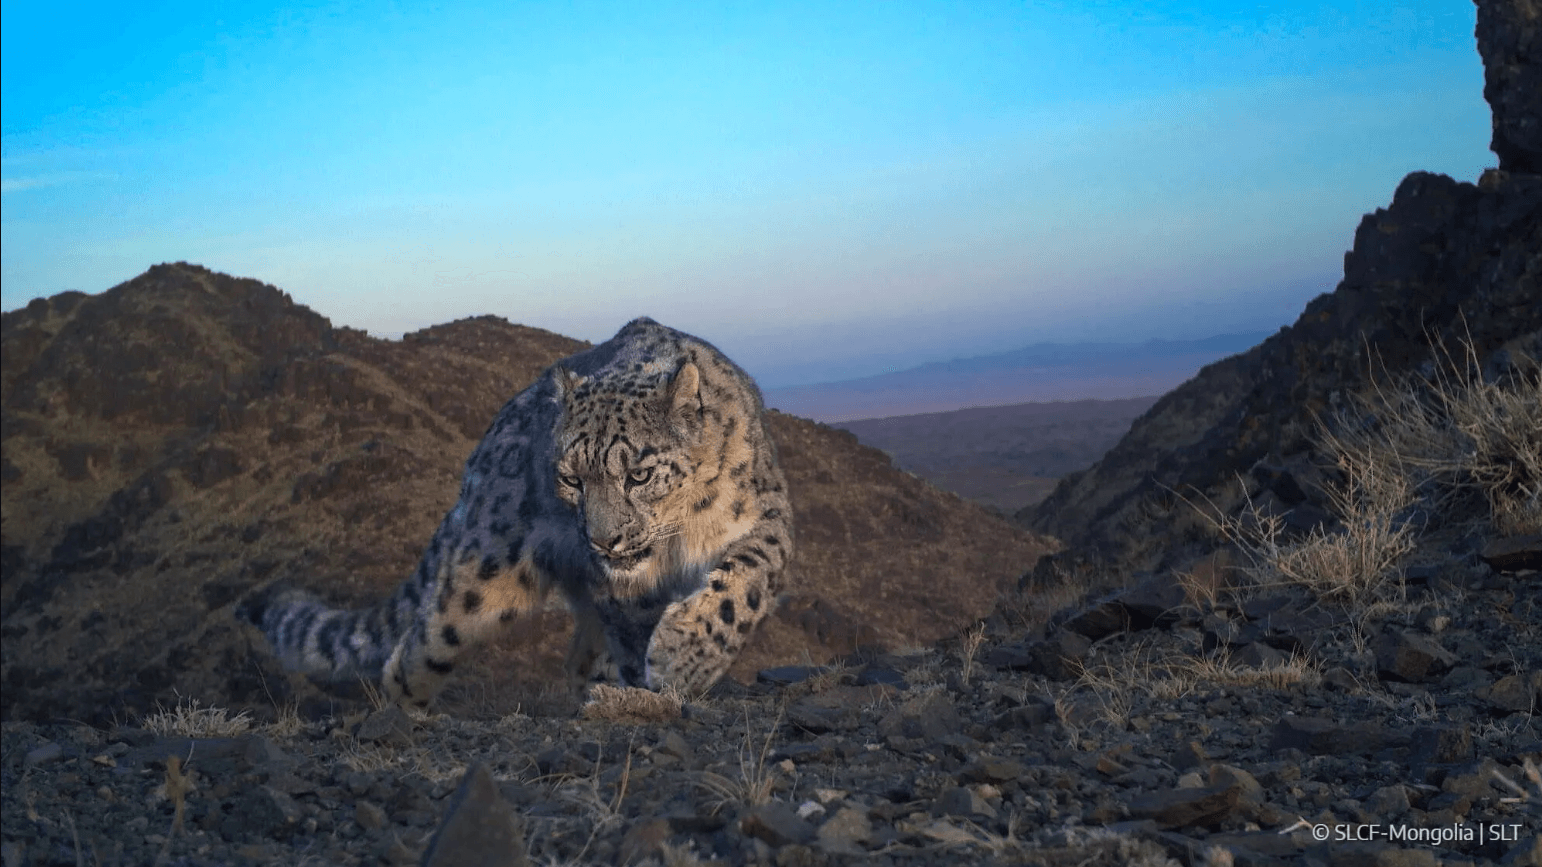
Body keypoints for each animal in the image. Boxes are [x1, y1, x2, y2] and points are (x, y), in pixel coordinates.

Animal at [246, 317, 795, 709]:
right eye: (571, 479)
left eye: (638, 475)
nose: (604, 540)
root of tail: (483, 447)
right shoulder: (622, 591)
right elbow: (633, 629)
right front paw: (659, 672)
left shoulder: (766, 513)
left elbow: (744, 583)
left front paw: (685, 657)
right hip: (481, 579)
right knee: (415, 650)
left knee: (577, 658)